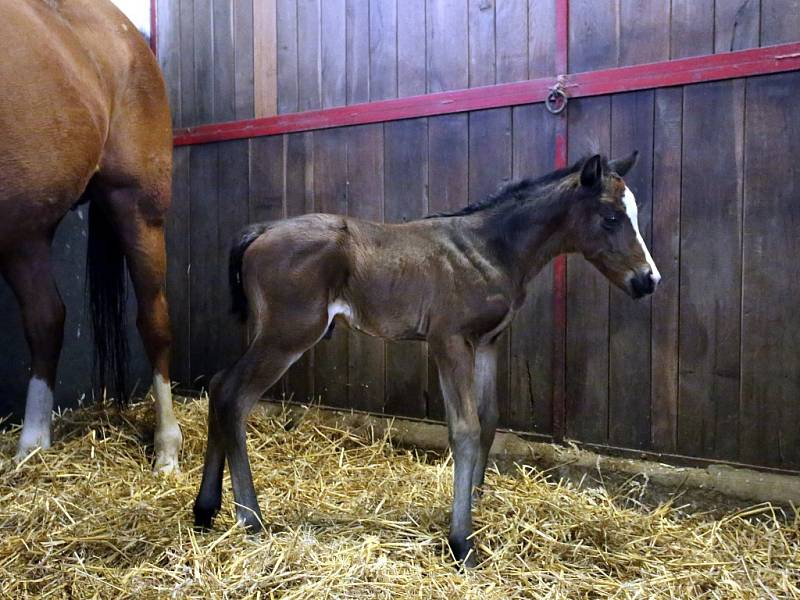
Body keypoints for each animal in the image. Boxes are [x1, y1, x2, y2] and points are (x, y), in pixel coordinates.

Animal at [0, 0, 182, 472]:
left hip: (138, 208)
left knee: (154, 320)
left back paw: (167, 451)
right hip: (25, 232)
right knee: (46, 318)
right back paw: (31, 447)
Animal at [195, 152, 664, 564]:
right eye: (611, 217)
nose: (648, 280)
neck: (491, 248)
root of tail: (261, 231)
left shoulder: (487, 342)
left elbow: (488, 420)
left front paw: (475, 502)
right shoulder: (449, 340)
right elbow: (465, 428)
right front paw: (462, 543)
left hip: (268, 331)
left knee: (218, 385)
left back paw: (205, 510)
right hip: (289, 333)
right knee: (234, 396)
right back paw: (250, 518)